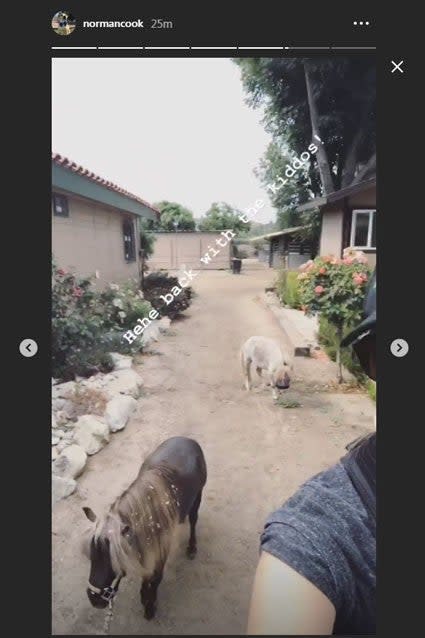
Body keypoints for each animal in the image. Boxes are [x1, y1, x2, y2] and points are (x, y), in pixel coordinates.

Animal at [81, 438, 207, 624]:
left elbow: (155, 580)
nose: (94, 600)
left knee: (193, 520)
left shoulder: (160, 552)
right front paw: (143, 595)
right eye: (91, 556)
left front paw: (149, 606)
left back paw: (192, 548)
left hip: (198, 494)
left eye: (114, 560)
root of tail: (188, 440)